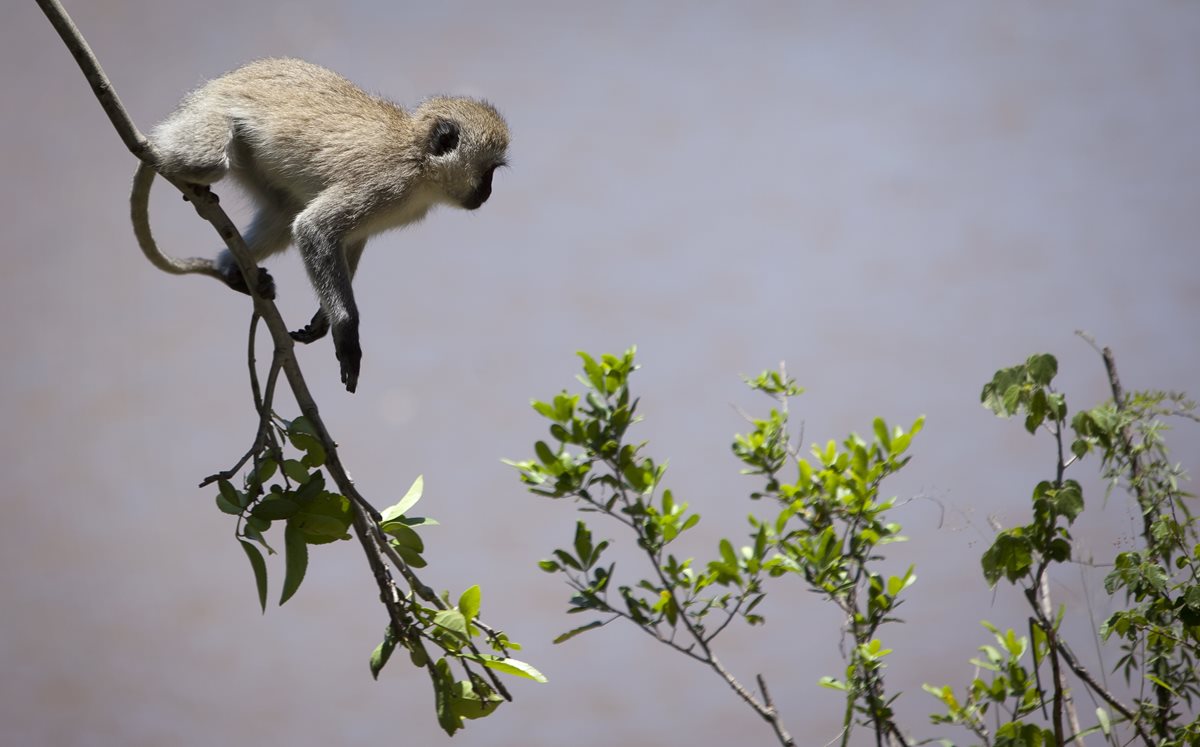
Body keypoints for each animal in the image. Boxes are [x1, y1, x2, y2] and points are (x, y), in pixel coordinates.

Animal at [130, 58, 506, 396]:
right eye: (488, 171)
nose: (488, 192)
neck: (420, 162)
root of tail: (210, 88)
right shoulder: (386, 184)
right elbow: (316, 229)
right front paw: (346, 330)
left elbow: (346, 238)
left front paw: (323, 320)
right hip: (211, 116)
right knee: (206, 163)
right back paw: (157, 153)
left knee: (282, 217)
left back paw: (231, 269)